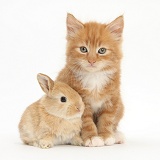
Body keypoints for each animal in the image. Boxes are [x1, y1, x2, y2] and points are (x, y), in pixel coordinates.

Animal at [56, 13, 125, 146]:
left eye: (102, 50)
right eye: (83, 49)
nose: (91, 61)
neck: (95, 77)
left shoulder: (112, 100)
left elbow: (107, 120)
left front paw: (106, 136)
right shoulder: (81, 102)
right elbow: (87, 122)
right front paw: (92, 137)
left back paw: (117, 135)